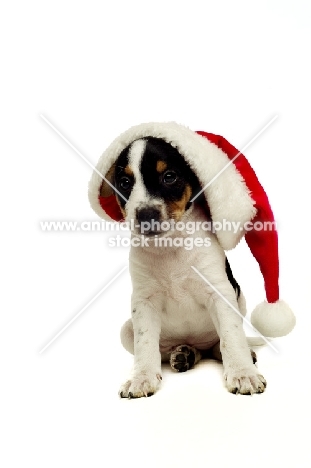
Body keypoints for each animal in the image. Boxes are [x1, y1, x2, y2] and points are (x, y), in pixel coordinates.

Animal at [111, 137, 266, 396]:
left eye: (169, 177)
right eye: (124, 183)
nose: (145, 215)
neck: (170, 245)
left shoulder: (220, 294)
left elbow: (231, 337)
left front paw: (243, 373)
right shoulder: (144, 302)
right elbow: (145, 344)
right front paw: (141, 377)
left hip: (239, 301)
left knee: (218, 345)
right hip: (126, 331)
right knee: (165, 352)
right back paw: (184, 354)